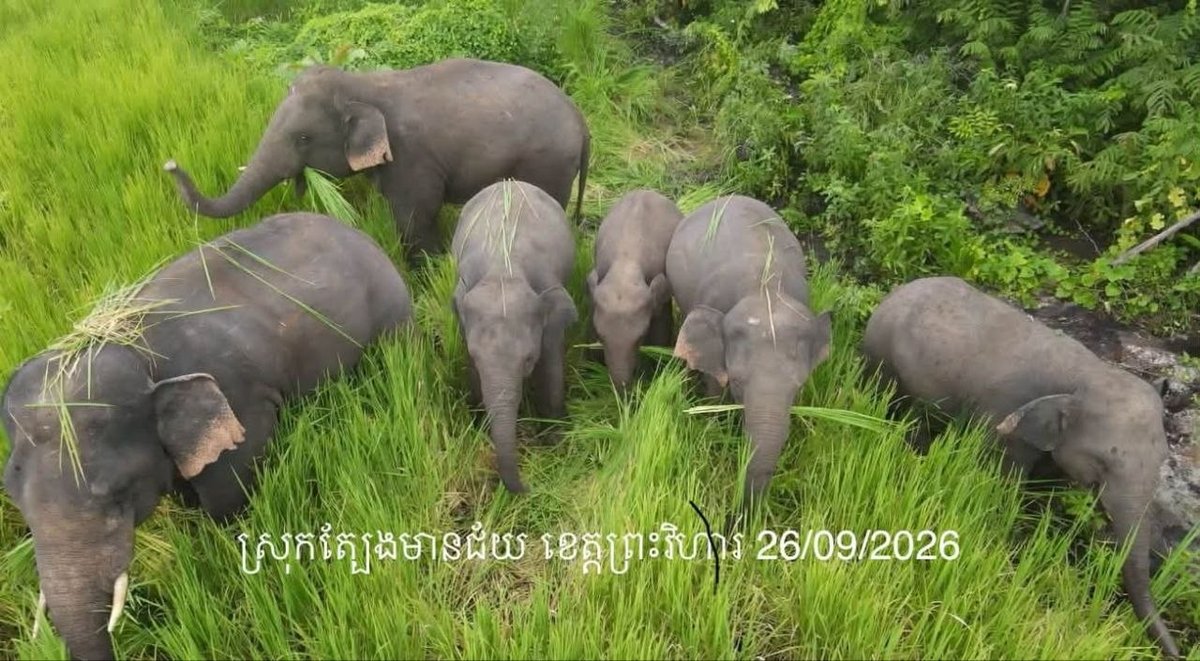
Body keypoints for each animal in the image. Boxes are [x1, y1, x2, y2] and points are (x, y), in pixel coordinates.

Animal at [2, 212, 412, 660]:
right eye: (15, 500)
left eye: (117, 496)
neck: (129, 344)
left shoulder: (241, 398)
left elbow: (228, 489)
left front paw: (227, 537)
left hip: (392, 312)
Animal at [164, 58, 590, 264]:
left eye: (303, 139)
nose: (168, 164)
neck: (365, 84)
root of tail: (582, 122)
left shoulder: (413, 160)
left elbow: (414, 220)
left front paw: (431, 271)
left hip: (548, 164)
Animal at [451, 179, 578, 494]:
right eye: (474, 357)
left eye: (528, 360)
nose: (530, 486)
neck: (503, 270)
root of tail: (510, 181)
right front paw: (479, 426)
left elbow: (552, 364)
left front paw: (555, 441)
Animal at [665, 195, 832, 512]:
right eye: (738, 383)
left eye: (798, 387)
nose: (737, 515)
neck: (763, 291)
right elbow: (714, 393)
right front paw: (715, 425)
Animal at [861, 276, 1181, 659]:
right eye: (1103, 463)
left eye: (1162, 460)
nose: (1176, 652)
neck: (1087, 374)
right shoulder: (1002, 421)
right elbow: (1001, 480)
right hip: (881, 357)